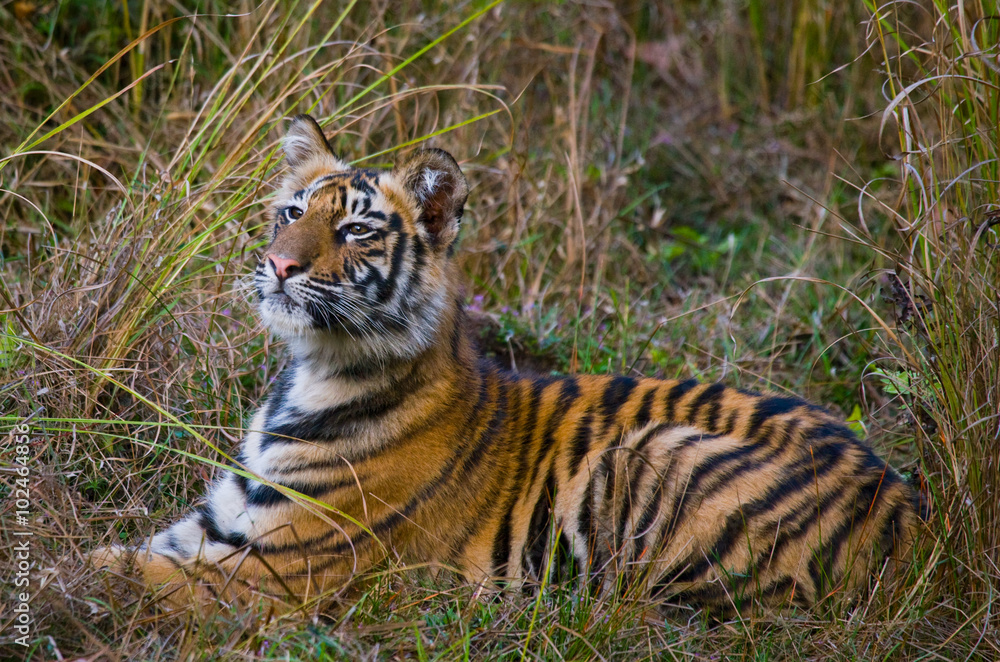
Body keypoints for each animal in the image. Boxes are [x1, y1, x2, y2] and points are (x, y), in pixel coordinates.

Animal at [93, 114, 920, 612]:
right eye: (292, 212)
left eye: (356, 230)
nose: (278, 266)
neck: (311, 372)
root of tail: (908, 508)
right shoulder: (213, 525)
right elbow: (121, 551)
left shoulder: (275, 572)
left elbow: (120, 574)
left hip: (650, 457)